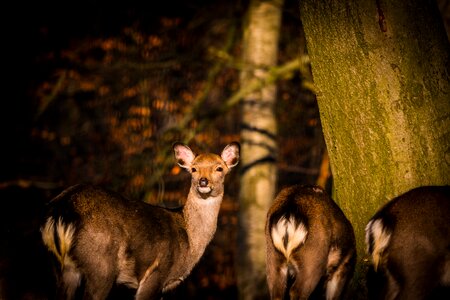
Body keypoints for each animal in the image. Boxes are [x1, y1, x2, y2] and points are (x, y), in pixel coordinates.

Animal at [40, 142, 241, 300]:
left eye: (219, 168)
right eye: (193, 169)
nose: (203, 182)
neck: (190, 242)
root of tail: (61, 210)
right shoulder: (156, 273)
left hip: (61, 267)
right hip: (101, 264)